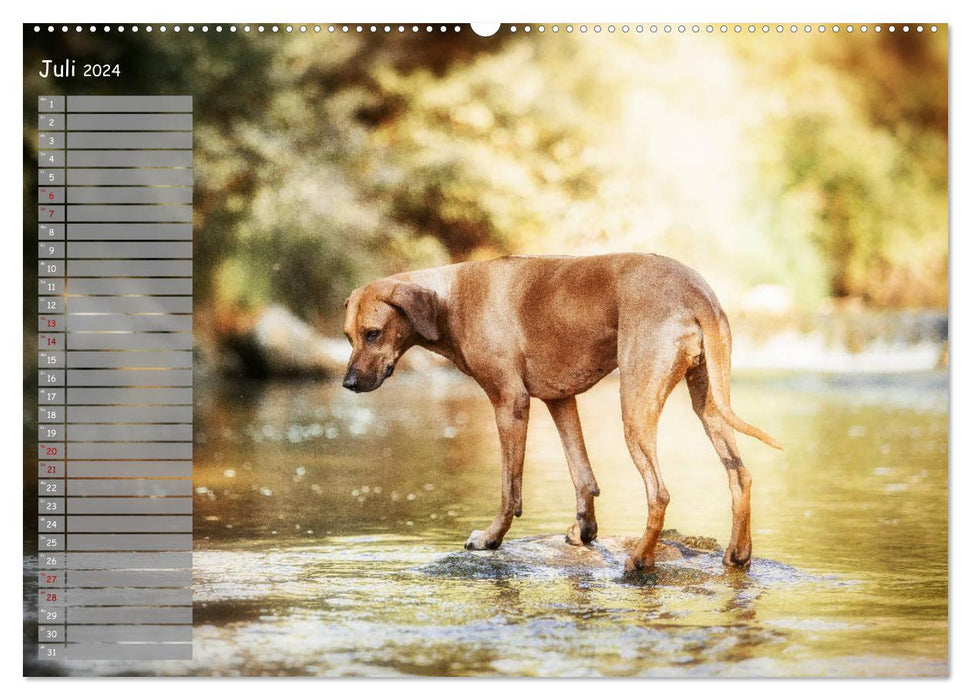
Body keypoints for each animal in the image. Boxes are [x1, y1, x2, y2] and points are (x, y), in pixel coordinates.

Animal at [342, 254, 784, 572]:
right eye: (348, 336)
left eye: (373, 333)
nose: (347, 383)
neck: (451, 299)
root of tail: (696, 290)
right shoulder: (561, 400)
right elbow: (582, 473)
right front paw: (584, 530)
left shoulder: (510, 403)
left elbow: (509, 489)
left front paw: (490, 538)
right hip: (708, 402)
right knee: (740, 476)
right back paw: (738, 554)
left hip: (635, 405)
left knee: (658, 492)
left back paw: (641, 559)